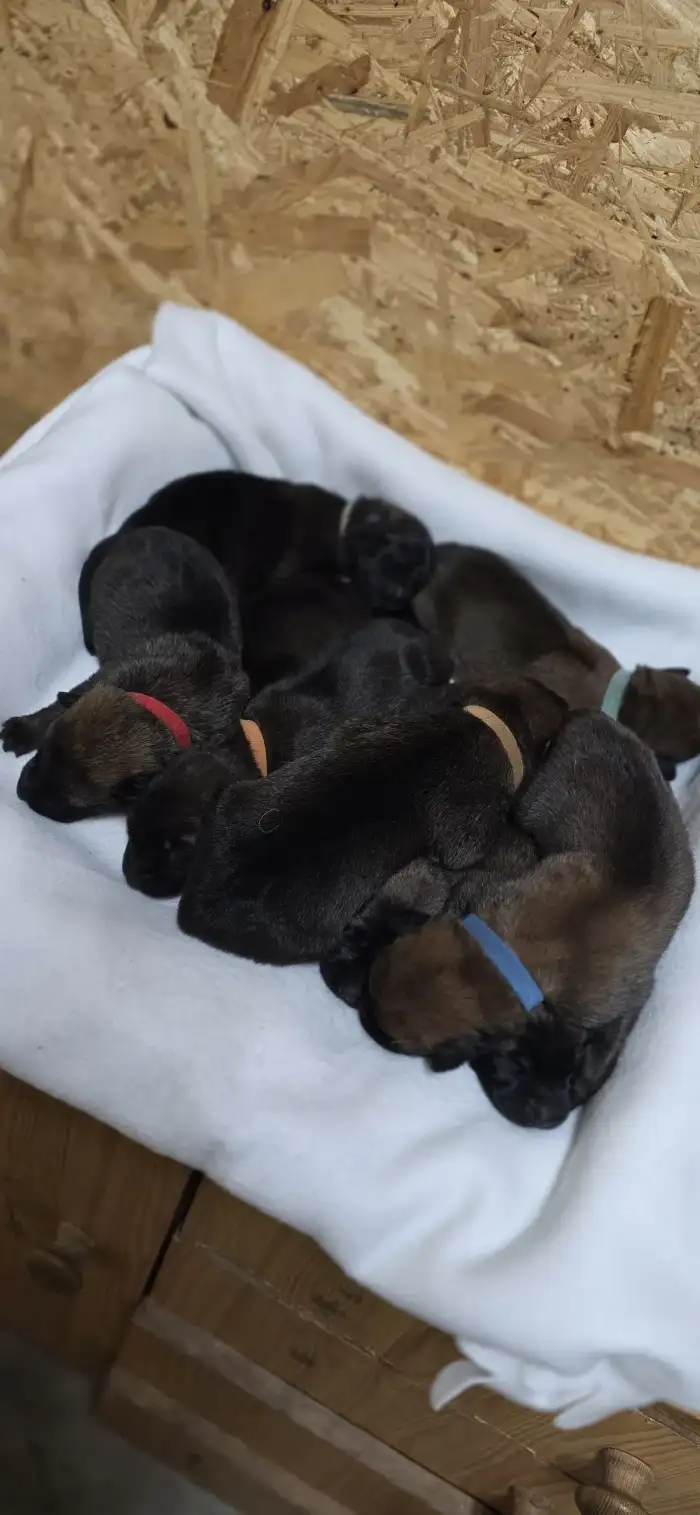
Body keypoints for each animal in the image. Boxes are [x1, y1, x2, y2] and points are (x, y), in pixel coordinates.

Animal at [2, 527, 249, 821]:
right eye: (42, 752)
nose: (20, 790)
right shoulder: (102, 679)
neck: (161, 701)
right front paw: (23, 729)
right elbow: (55, 708)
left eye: (63, 804)